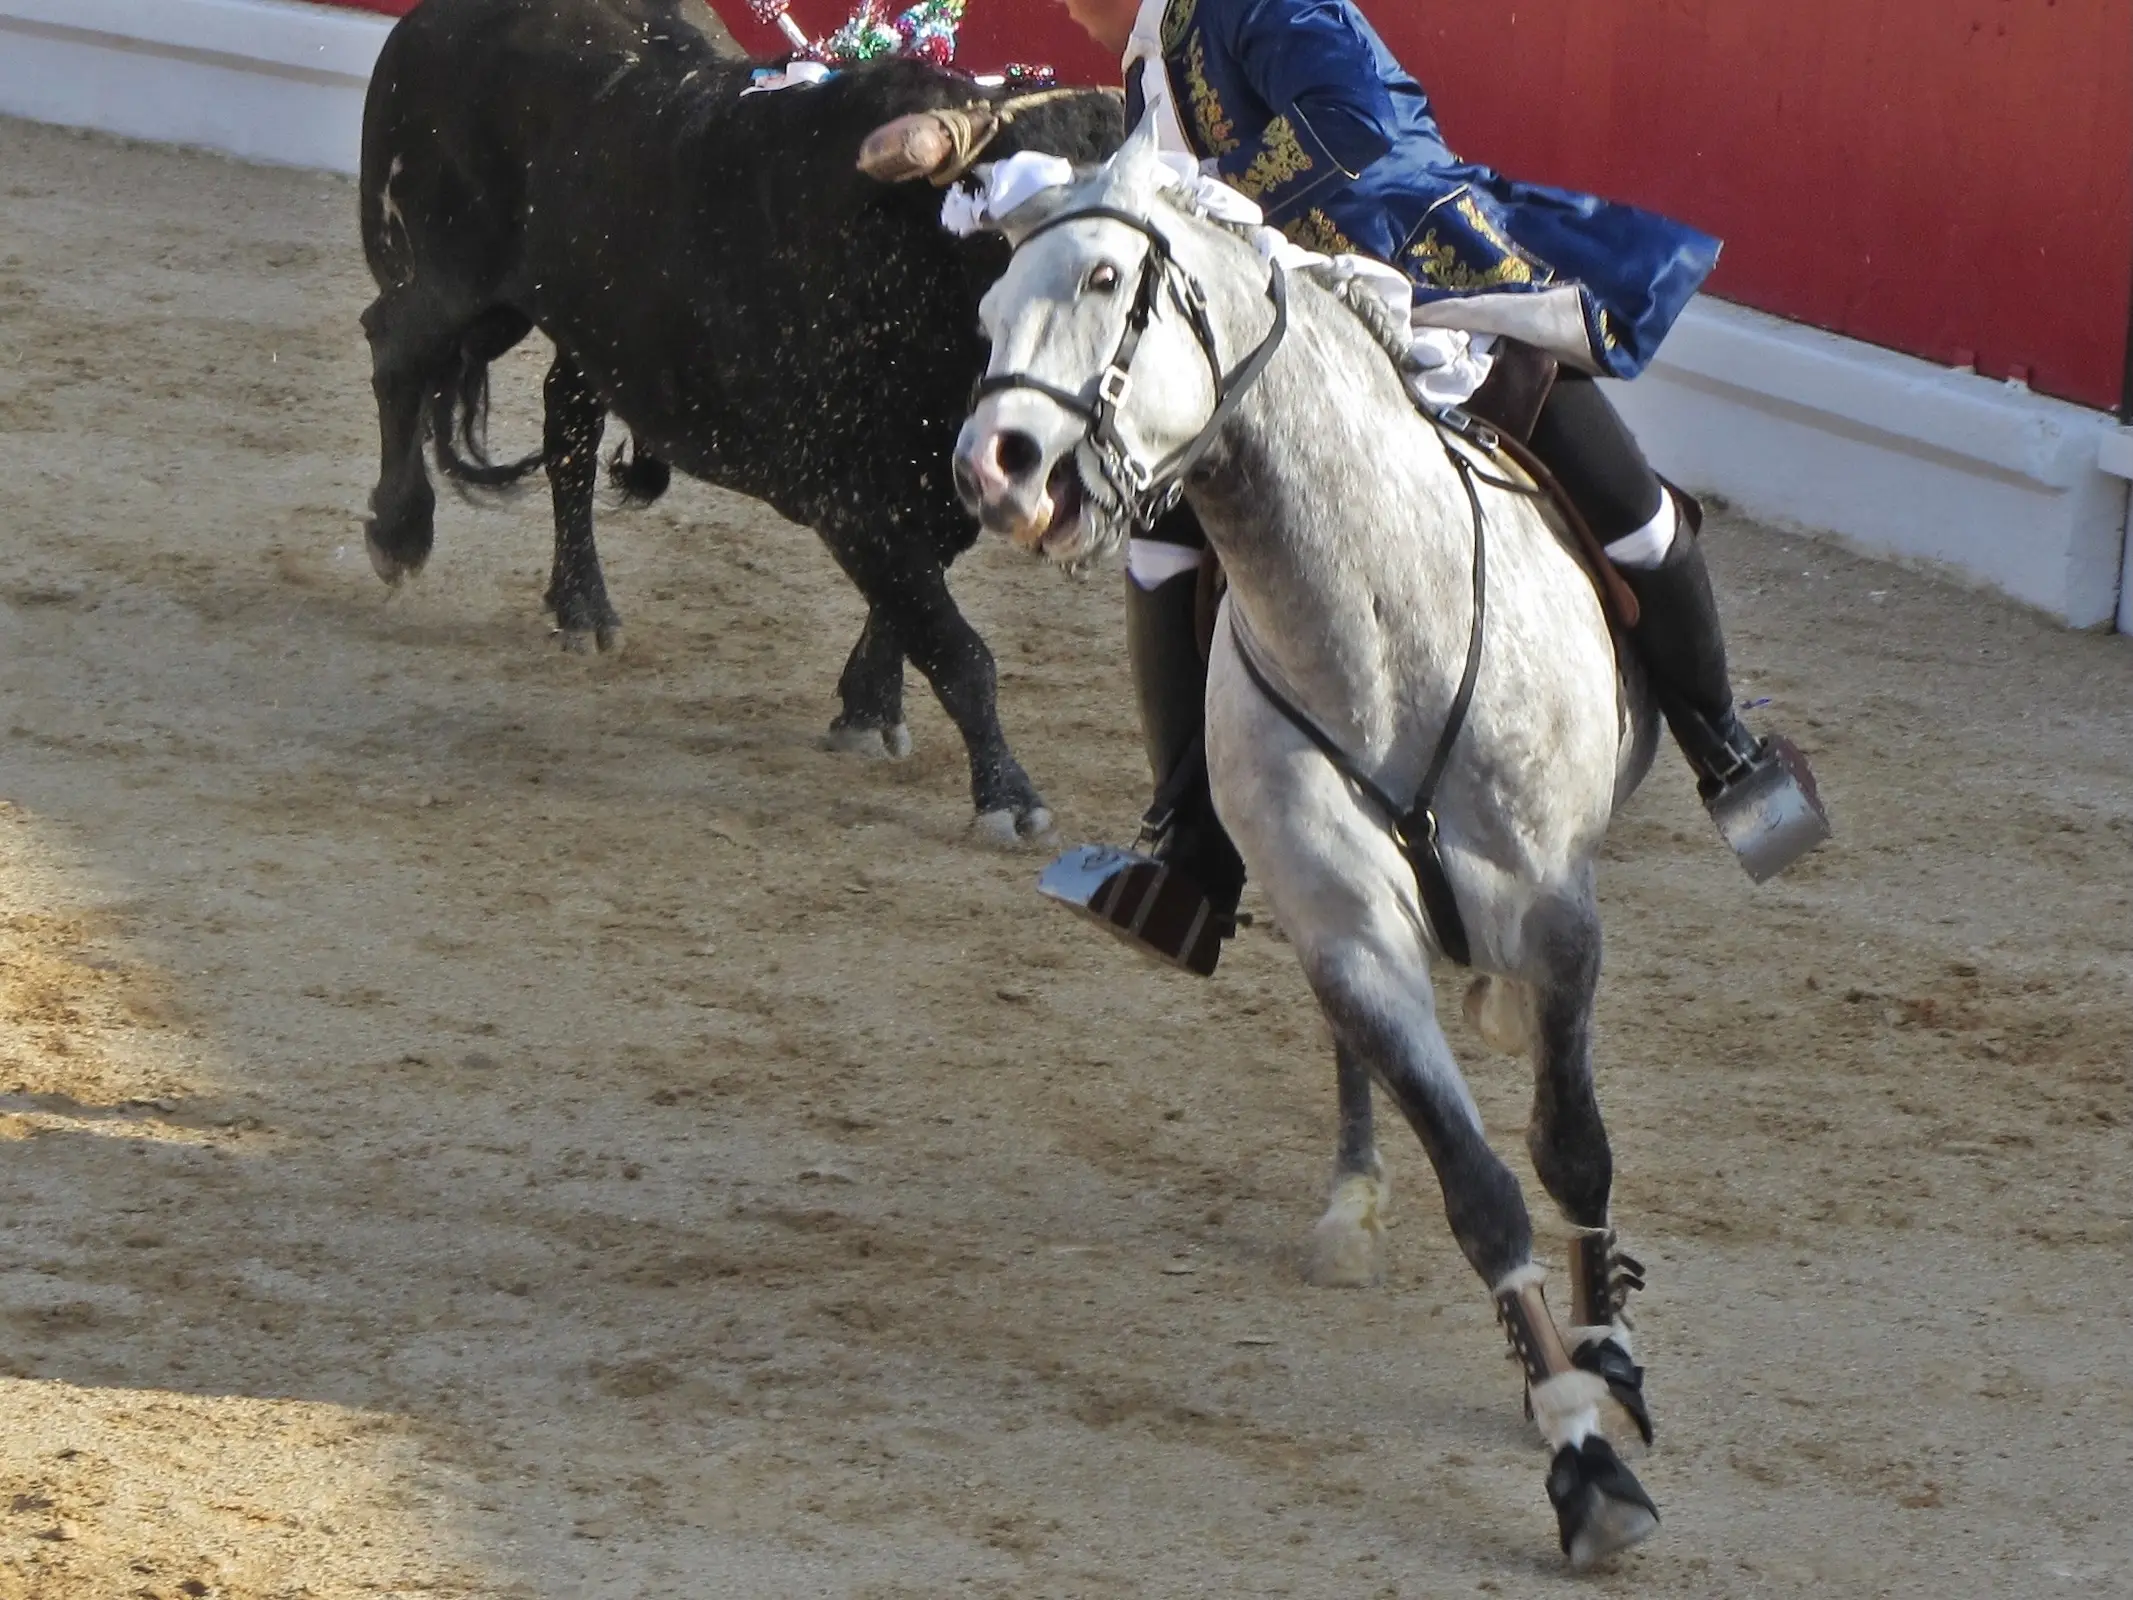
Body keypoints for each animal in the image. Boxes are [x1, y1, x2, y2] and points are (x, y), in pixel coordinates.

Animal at [356, 0, 1120, 840]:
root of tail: (428, 22)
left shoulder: (933, 494)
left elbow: (906, 611)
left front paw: (867, 710)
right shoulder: (851, 499)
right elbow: (954, 647)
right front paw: (1007, 797)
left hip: (595, 328)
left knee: (568, 433)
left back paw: (582, 605)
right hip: (453, 285)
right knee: (395, 348)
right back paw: (399, 533)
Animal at [952, 126, 1668, 1567]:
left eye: (1106, 276)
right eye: (990, 307)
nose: (991, 466)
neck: (1381, 620)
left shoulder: (1559, 919)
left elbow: (1571, 1144)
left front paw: (1605, 1354)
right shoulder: (1346, 928)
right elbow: (1480, 1188)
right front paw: (1578, 1456)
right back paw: (1352, 1201)